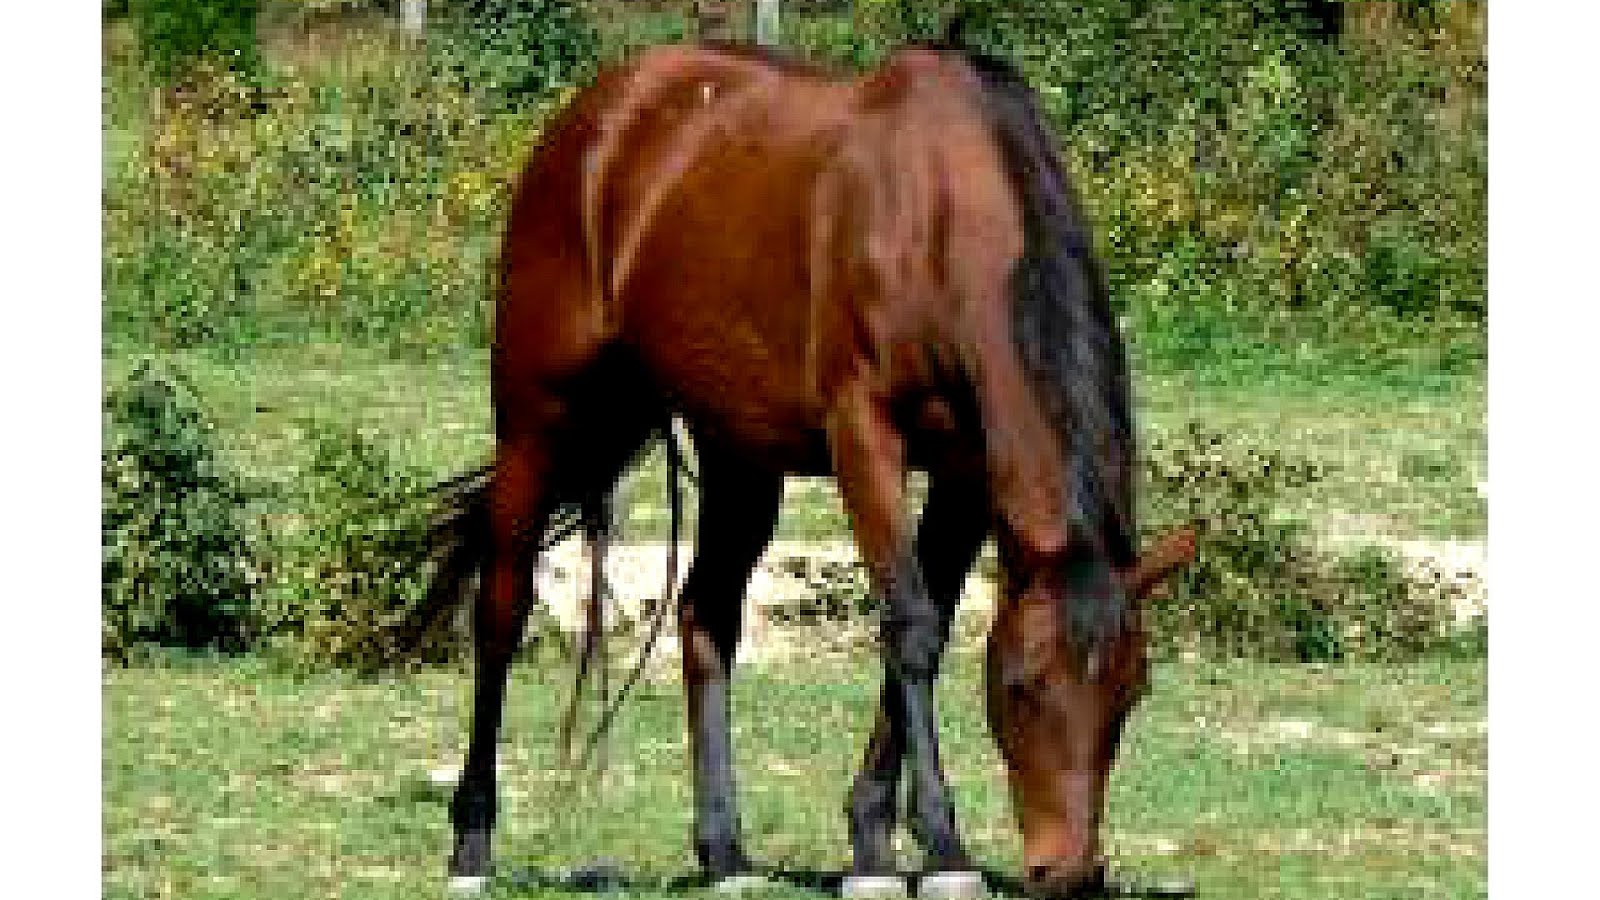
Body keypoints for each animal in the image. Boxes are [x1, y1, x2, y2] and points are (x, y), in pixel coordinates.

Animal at [405, 33, 1195, 899]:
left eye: (1133, 691)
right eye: (1020, 686)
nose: (1070, 871)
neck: (938, 213)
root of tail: (597, 114)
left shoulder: (965, 473)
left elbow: (926, 622)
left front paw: (872, 840)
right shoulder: (864, 437)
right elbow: (911, 625)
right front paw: (941, 850)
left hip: (737, 449)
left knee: (705, 616)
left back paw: (724, 851)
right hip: (535, 424)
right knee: (502, 611)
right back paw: (472, 841)